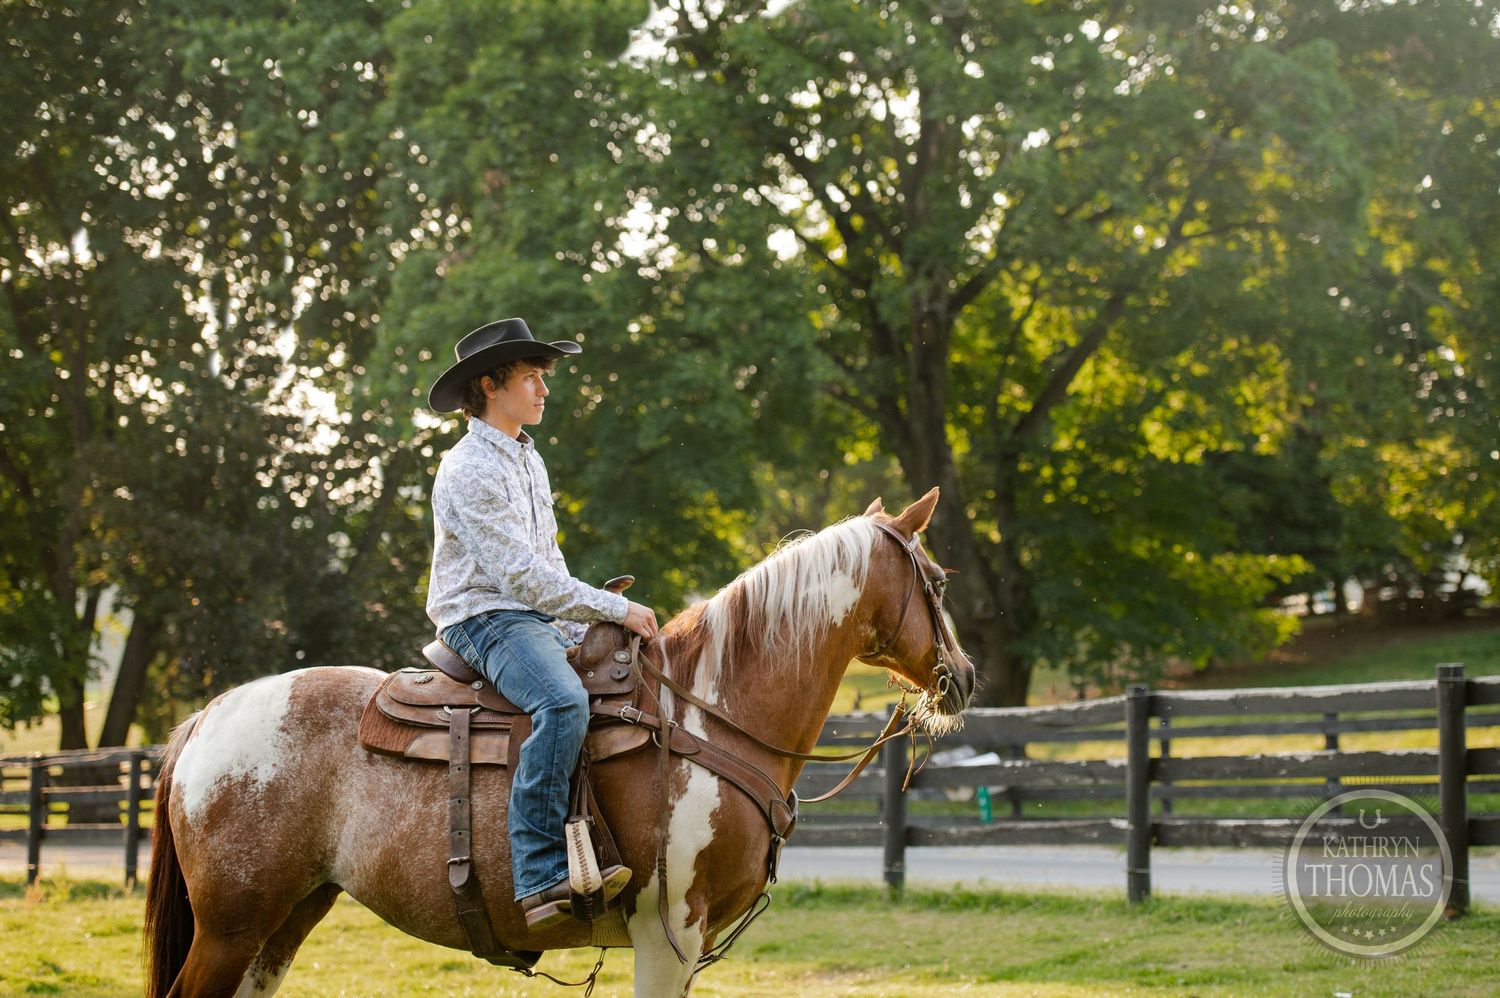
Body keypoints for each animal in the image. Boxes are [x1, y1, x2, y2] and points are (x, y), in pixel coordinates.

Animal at [143, 488, 975, 997]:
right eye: (935, 580)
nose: (963, 678)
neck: (709, 715)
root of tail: (206, 719)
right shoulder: (668, 934)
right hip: (231, 925)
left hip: (284, 920)